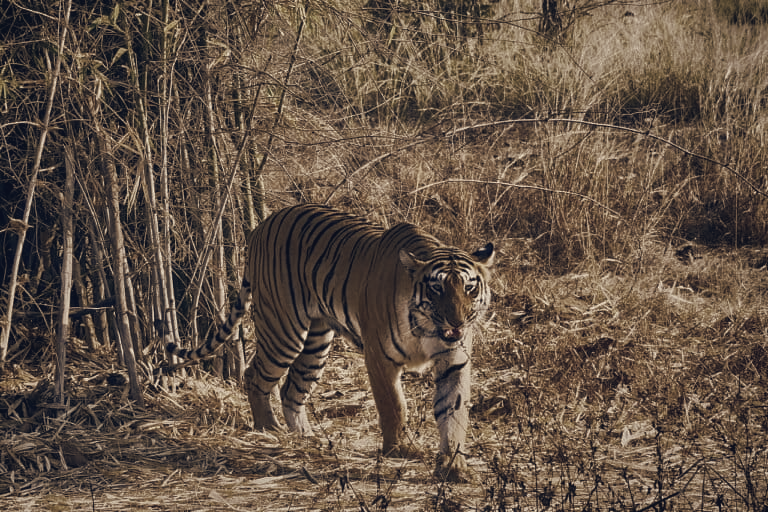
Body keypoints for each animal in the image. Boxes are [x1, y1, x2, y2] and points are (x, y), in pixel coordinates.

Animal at [167, 203, 495, 482]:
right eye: (437, 288)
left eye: (469, 287)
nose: (457, 322)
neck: (427, 327)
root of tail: (261, 226)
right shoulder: (380, 358)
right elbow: (393, 405)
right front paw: (399, 449)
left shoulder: (454, 361)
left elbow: (453, 411)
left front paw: (453, 465)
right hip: (283, 332)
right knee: (255, 375)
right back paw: (268, 430)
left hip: (316, 343)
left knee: (291, 389)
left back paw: (304, 436)